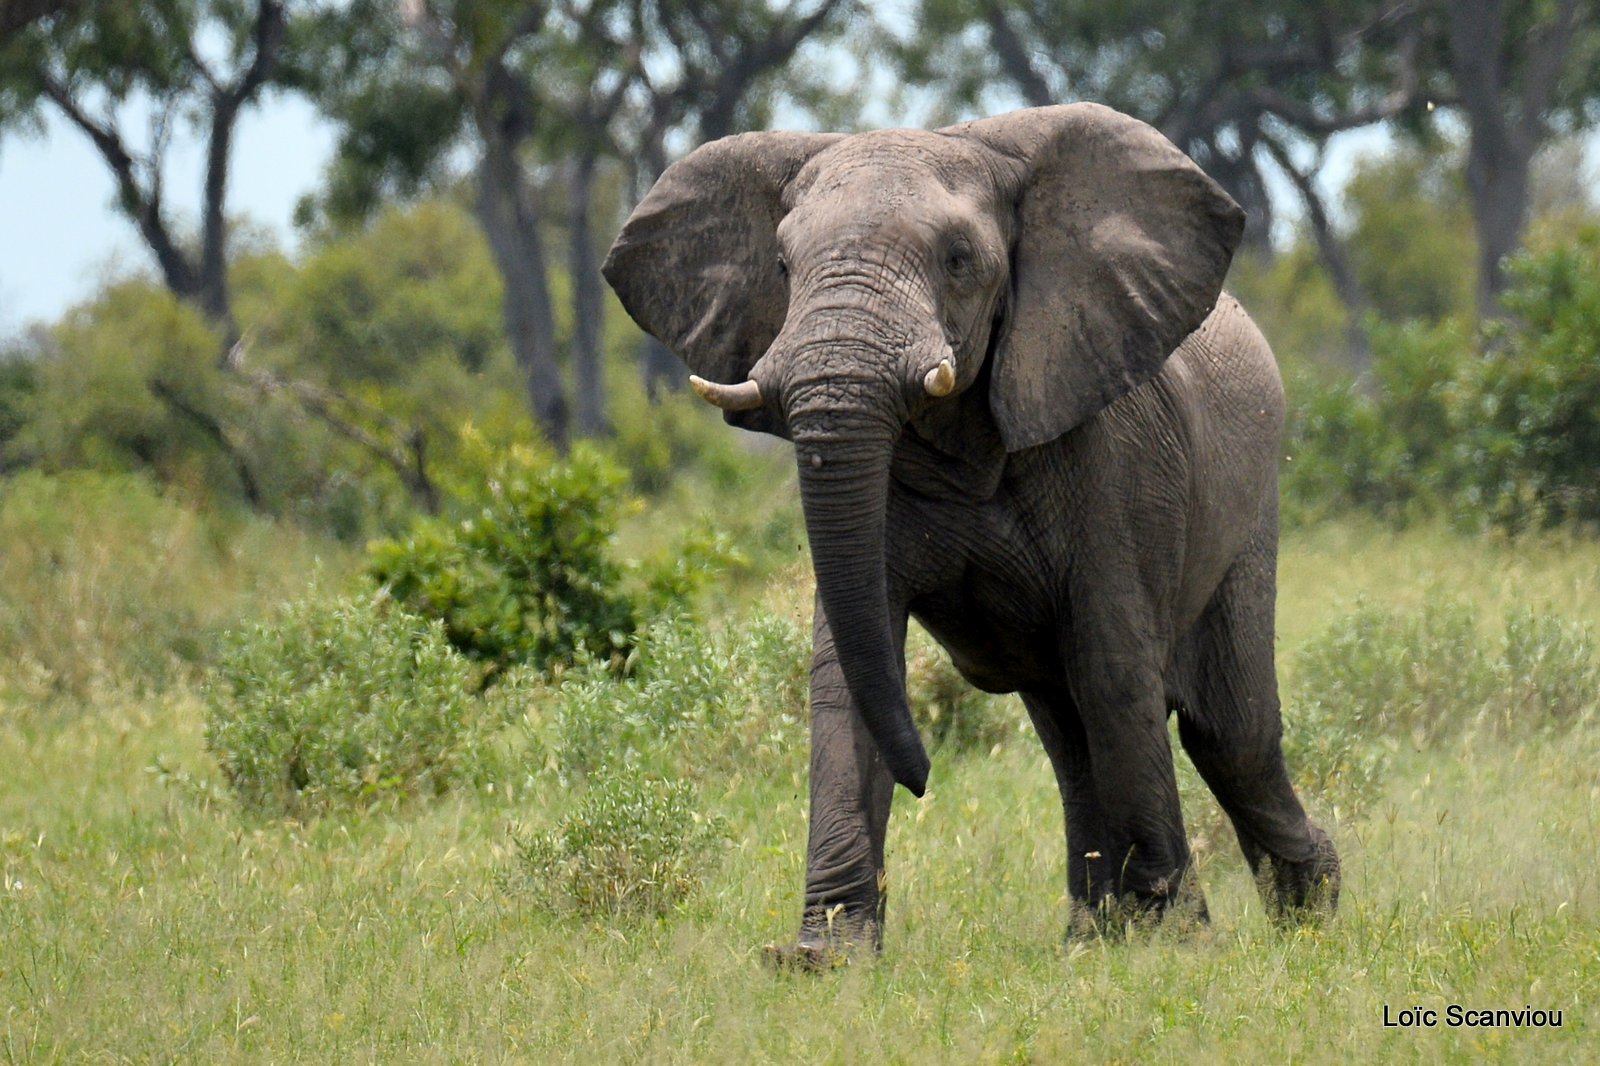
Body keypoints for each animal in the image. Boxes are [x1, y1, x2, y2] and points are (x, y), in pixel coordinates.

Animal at [601, 104, 1337, 960]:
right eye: (782, 267)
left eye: (958, 261)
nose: (924, 778)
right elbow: (850, 667)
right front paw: (825, 958)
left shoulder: (1113, 455)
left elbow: (1116, 667)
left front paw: (1174, 944)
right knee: (1070, 731)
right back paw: (1092, 937)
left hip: (1251, 507)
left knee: (1226, 732)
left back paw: (1310, 911)